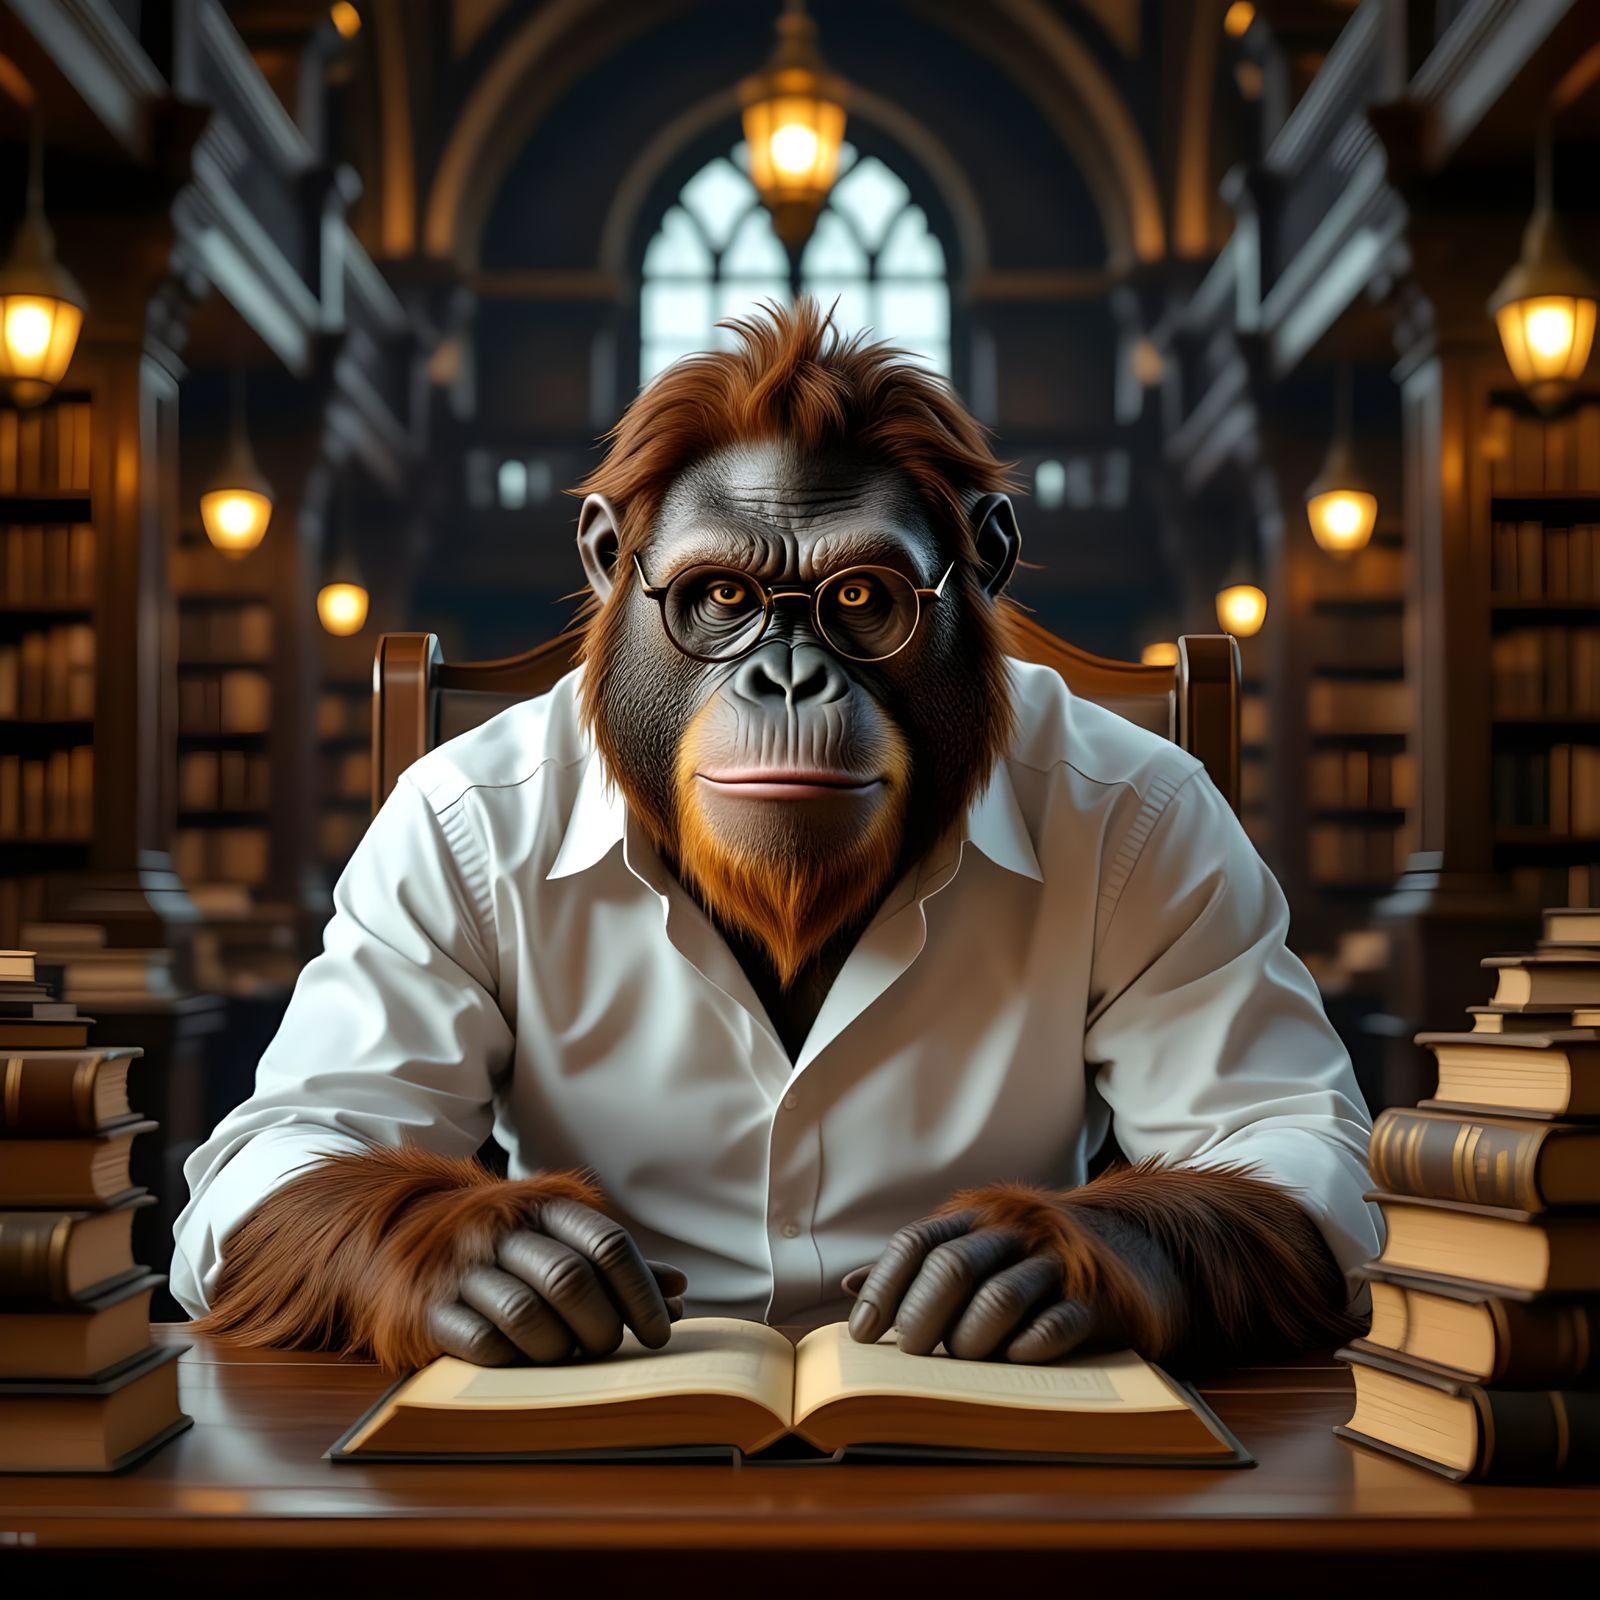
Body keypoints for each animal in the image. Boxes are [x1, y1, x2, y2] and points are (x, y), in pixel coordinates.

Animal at [180, 297, 1371, 1375]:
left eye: (858, 596)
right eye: (722, 597)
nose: (788, 673)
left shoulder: (1178, 826)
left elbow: (1271, 1135)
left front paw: (1035, 1248)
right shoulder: (426, 831)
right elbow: (305, 1127)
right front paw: (489, 1244)